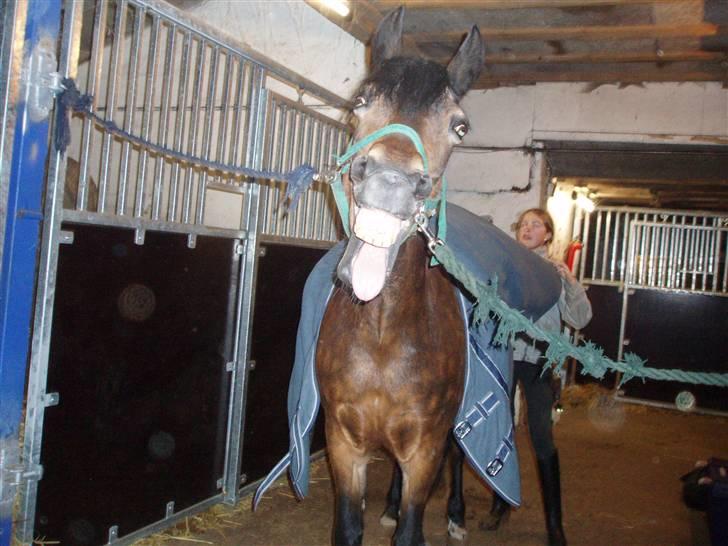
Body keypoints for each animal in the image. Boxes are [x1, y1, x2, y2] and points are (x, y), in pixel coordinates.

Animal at [315, 7, 484, 546]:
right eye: (359, 102)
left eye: (460, 127)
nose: (390, 182)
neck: (382, 334)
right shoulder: (343, 443)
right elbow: (349, 526)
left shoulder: (425, 447)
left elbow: (411, 530)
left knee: (458, 460)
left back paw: (456, 515)